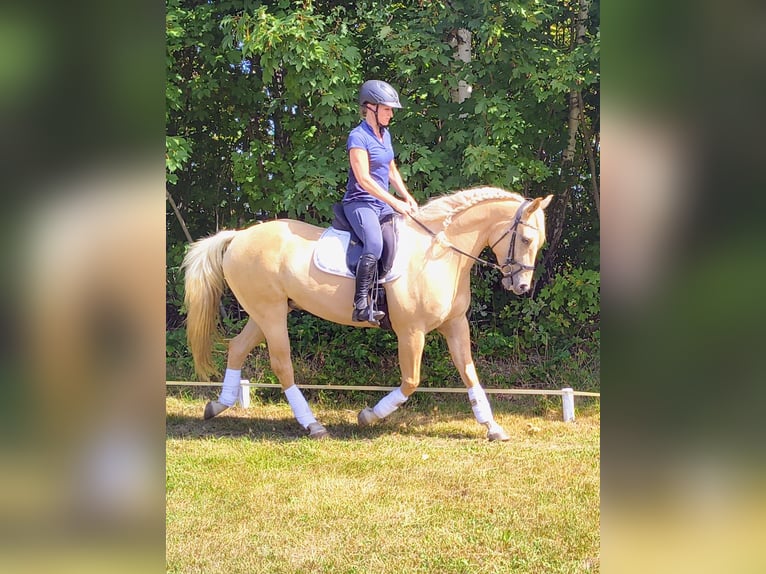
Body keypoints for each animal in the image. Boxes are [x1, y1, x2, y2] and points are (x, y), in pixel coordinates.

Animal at [183, 187, 552, 440]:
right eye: (526, 238)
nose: (521, 286)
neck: (439, 253)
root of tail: (238, 236)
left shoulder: (455, 325)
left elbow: (469, 373)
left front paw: (493, 427)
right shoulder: (411, 332)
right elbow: (410, 382)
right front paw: (369, 415)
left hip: (263, 313)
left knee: (237, 348)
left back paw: (218, 405)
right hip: (271, 314)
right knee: (282, 364)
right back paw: (312, 424)